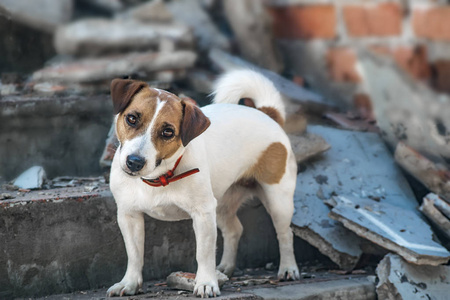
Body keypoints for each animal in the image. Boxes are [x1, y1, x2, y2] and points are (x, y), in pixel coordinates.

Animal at [107, 70, 300, 298]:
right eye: (132, 118)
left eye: (168, 132)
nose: (134, 162)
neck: (159, 177)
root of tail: (266, 113)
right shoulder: (129, 215)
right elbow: (134, 254)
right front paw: (129, 284)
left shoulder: (203, 214)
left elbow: (204, 253)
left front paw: (206, 283)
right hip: (222, 203)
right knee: (234, 229)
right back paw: (225, 268)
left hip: (278, 200)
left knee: (285, 234)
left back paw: (288, 268)